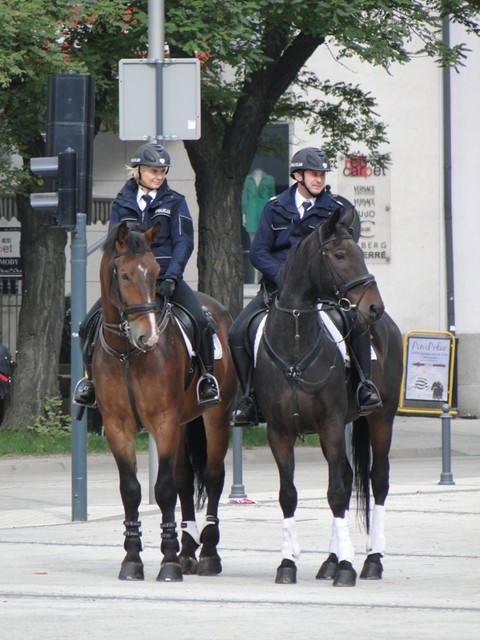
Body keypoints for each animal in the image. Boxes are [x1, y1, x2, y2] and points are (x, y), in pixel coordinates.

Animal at [92, 222, 238, 584]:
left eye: (157, 273)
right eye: (124, 275)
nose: (149, 336)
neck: (127, 353)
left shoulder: (164, 423)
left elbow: (164, 490)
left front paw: (168, 561)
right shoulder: (117, 428)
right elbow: (132, 490)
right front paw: (133, 559)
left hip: (214, 417)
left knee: (212, 477)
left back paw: (208, 554)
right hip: (185, 423)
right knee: (186, 479)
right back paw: (188, 551)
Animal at [255, 209, 404, 584]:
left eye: (362, 252)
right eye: (339, 255)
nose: (374, 307)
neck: (295, 342)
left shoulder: (331, 426)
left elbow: (336, 493)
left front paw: (348, 567)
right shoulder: (279, 432)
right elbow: (288, 495)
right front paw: (287, 563)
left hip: (382, 418)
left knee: (377, 479)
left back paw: (371, 559)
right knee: (349, 477)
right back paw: (330, 560)